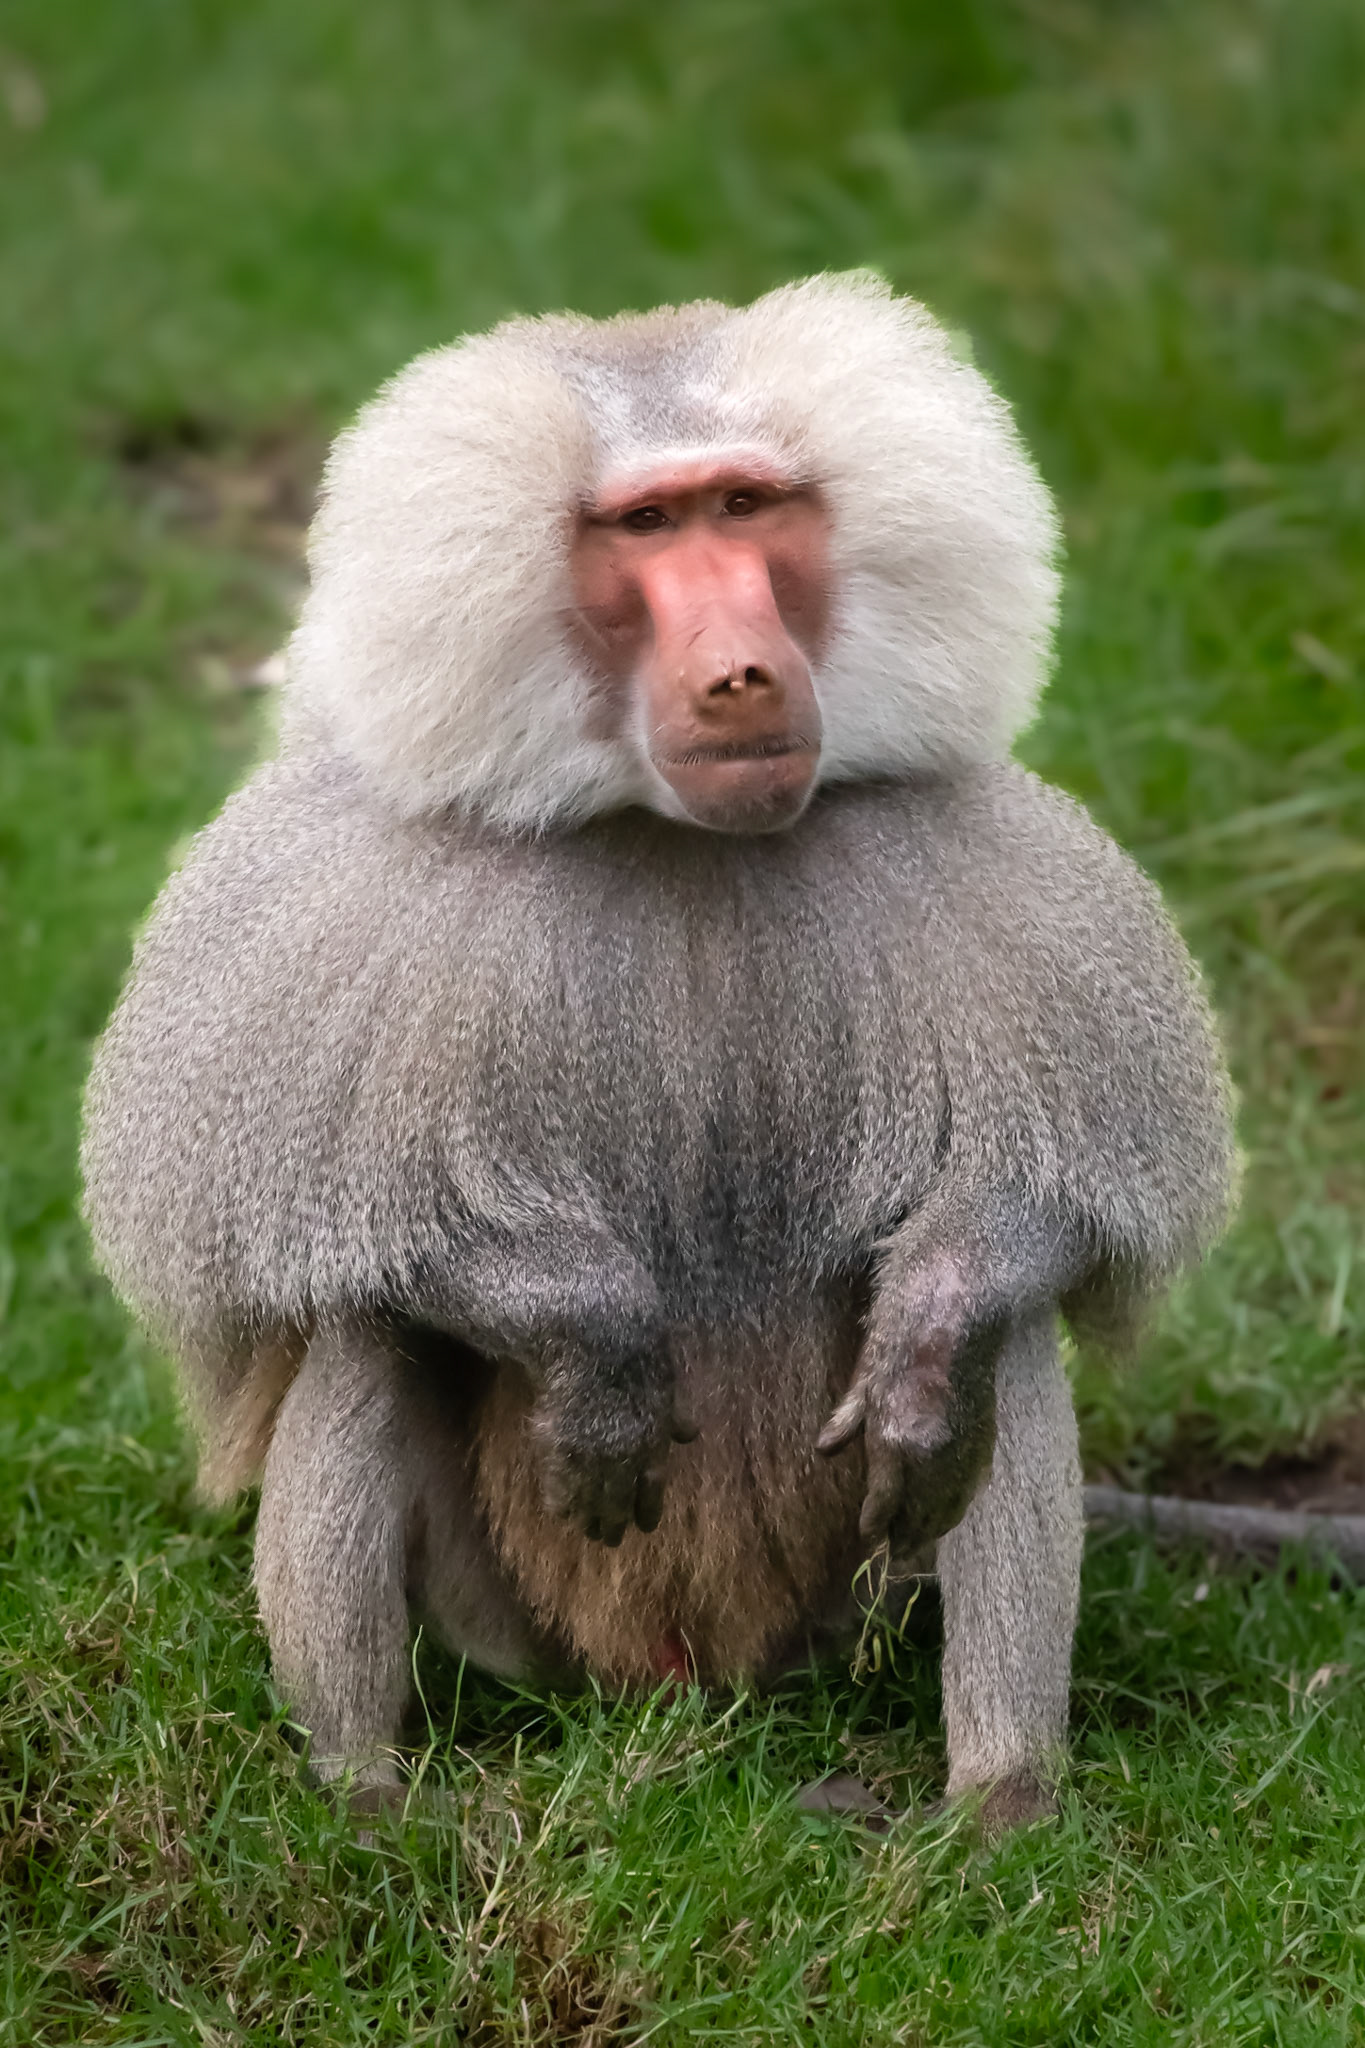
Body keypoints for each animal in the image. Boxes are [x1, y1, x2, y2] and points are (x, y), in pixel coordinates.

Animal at [82, 273, 1235, 1832]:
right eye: (643, 527)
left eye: (745, 505)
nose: (743, 673)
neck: (674, 837)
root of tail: (688, 1693)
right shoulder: (312, 917)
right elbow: (285, 1246)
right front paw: (595, 1345)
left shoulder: (1003, 883)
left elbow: (1040, 1223)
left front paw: (929, 1336)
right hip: (519, 1631)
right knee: (368, 1326)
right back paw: (371, 1793)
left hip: (846, 1614)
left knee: (1001, 1355)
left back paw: (995, 1805)